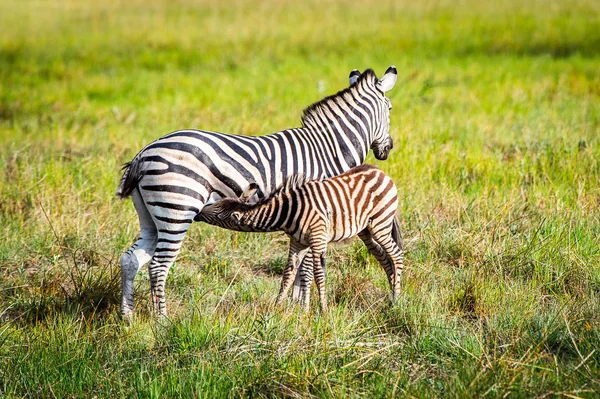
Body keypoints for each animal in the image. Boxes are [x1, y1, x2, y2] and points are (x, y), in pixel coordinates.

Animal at [197, 164, 404, 310]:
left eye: (217, 212)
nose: (198, 212)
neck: (289, 211)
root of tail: (381, 172)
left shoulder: (318, 238)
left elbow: (318, 273)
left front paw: (323, 309)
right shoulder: (298, 242)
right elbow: (289, 274)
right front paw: (277, 306)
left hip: (380, 225)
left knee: (396, 256)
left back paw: (396, 300)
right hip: (366, 231)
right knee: (384, 259)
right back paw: (391, 294)